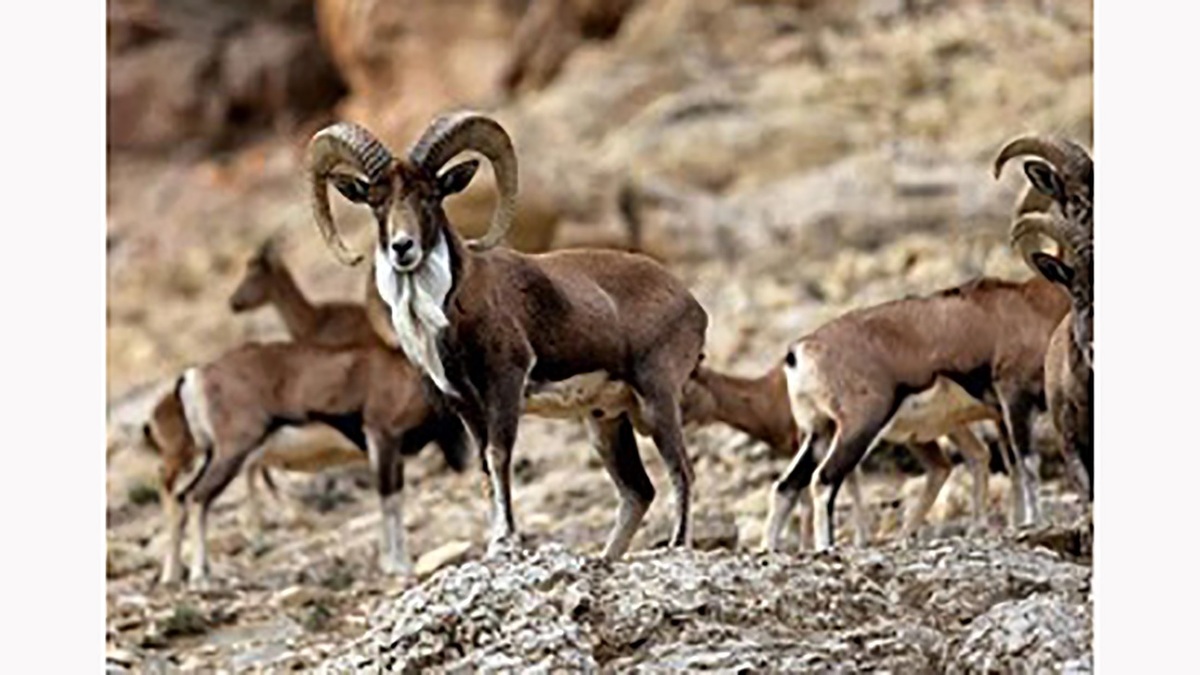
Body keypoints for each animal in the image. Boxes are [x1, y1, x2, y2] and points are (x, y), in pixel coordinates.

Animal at [142, 341, 470, 583]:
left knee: (183, 498)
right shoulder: (383, 439)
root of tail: (195, 376)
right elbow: (388, 500)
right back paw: (200, 575)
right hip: (230, 455)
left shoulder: (395, 455)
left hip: (212, 457)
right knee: (198, 498)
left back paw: (175, 576)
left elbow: (395, 501)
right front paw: (395, 565)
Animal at [304, 114, 705, 557]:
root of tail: (692, 306)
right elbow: (483, 466)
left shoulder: (505, 384)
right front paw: (496, 542)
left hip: (656, 400)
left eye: (430, 196)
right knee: (637, 491)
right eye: (376, 202)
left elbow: (498, 456)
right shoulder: (464, 403)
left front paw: (505, 541)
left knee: (681, 471)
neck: (446, 312)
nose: (402, 247)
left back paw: (677, 545)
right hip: (606, 421)